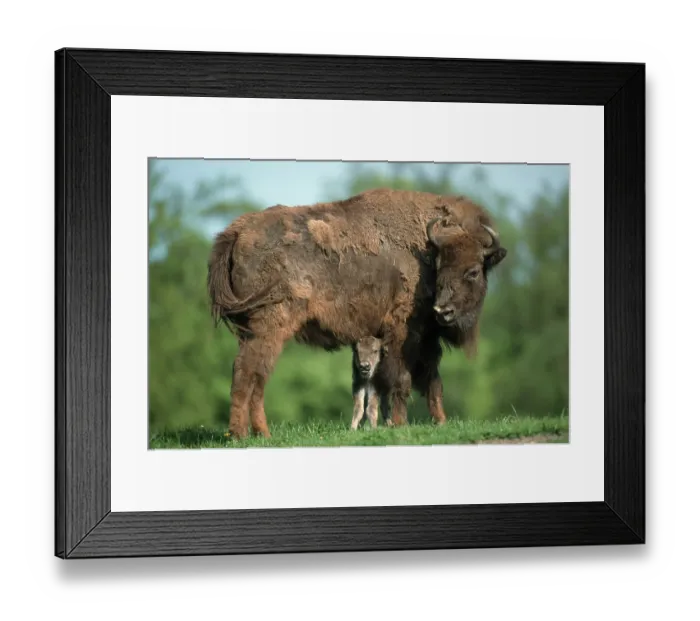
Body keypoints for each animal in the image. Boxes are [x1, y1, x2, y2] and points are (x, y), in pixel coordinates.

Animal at [207, 188, 507, 439]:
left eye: (473, 271)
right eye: (442, 265)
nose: (443, 310)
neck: (426, 252)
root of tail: (237, 231)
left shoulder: (427, 338)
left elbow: (433, 382)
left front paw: (440, 421)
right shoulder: (401, 332)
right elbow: (403, 379)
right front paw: (400, 424)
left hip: (255, 331)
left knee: (256, 376)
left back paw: (260, 433)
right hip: (270, 326)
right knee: (248, 372)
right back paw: (242, 434)